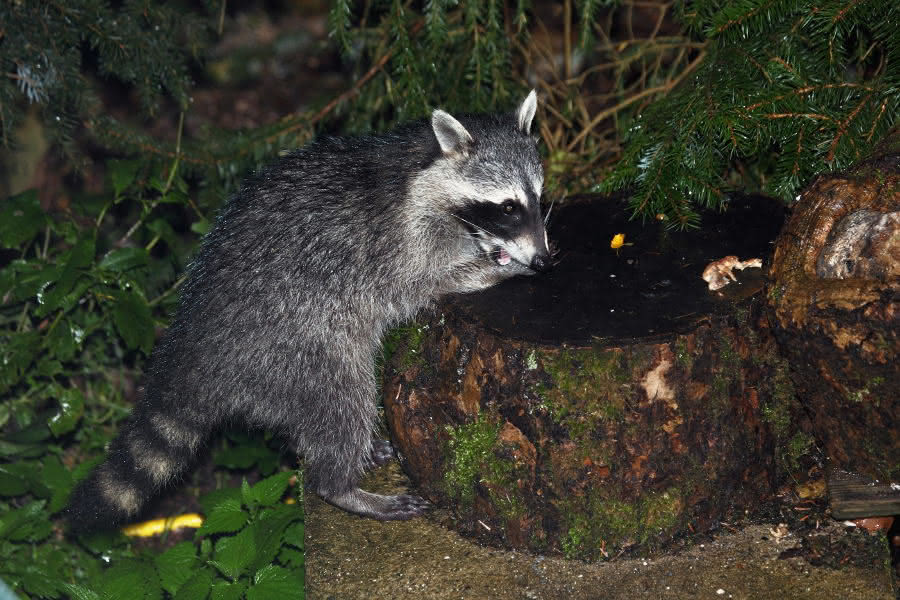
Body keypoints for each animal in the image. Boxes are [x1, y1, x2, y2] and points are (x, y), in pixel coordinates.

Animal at [65, 90, 548, 528]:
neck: (421, 165)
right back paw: (341, 486)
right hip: (298, 347)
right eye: (507, 206)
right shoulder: (401, 243)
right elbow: (426, 283)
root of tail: (196, 339)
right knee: (343, 399)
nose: (543, 260)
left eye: (538, 198)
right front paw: (495, 267)